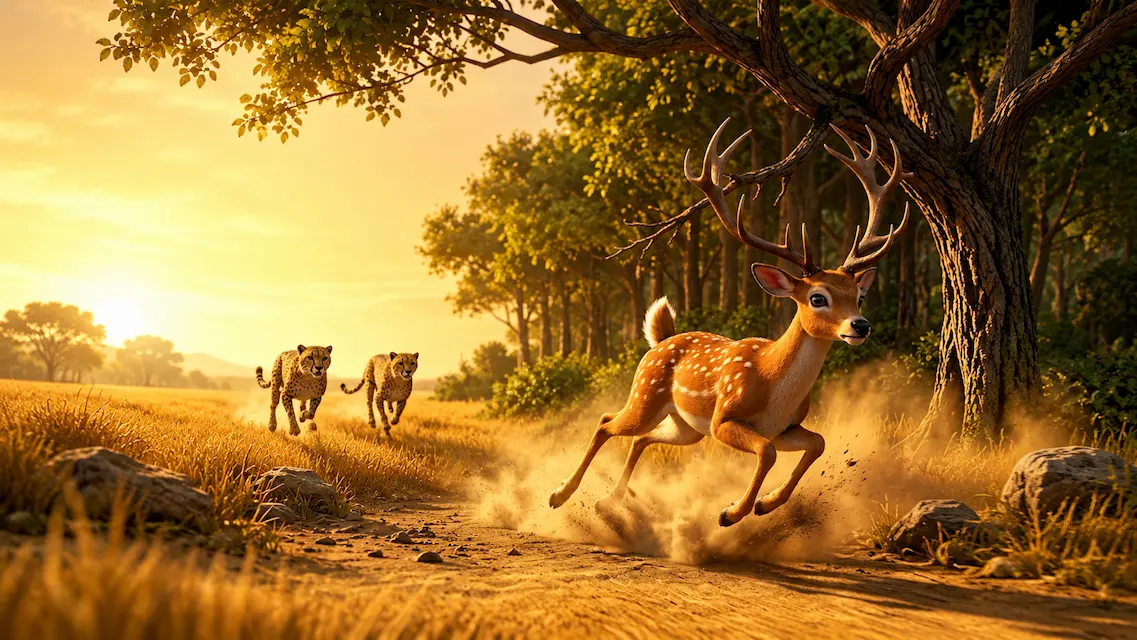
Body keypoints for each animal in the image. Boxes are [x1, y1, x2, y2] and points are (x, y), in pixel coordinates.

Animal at [548, 119, 911, 527]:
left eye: (858, 296)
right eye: (818, 298)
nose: (860, 326)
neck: (773, 388)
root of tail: (660, 340)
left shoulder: (785, 427)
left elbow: (817, 443)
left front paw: (765, 504)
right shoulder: (723, 419)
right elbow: (767, 451)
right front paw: (733, 512)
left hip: (684, 426)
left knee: (641, 437)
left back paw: (607, 502)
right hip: (647, 395)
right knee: (606, 422)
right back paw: (559, 495)